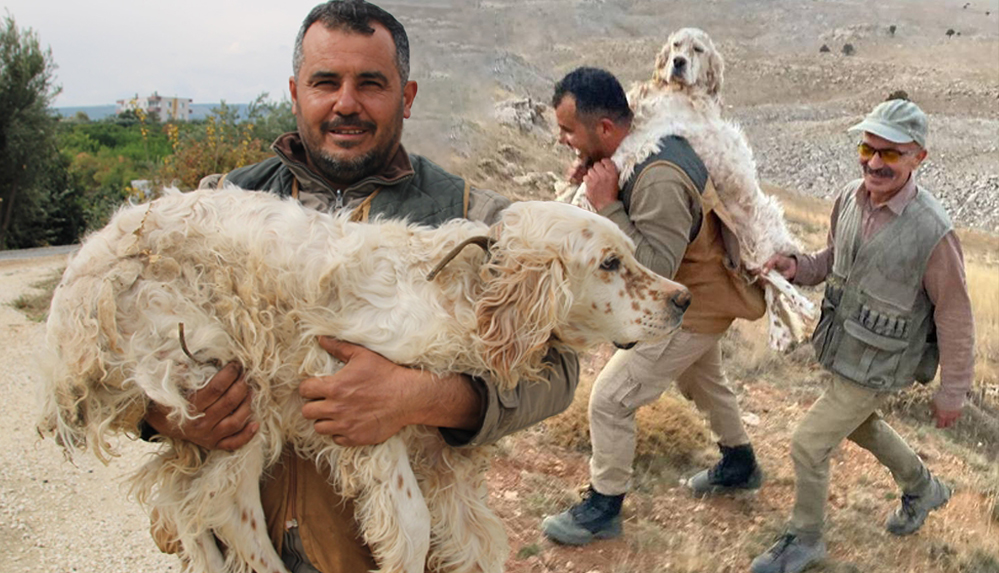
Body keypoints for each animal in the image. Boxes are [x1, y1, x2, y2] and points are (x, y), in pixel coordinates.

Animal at [41, 189, 696, 572]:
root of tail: (73, 285)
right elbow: (410, 528)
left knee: (190, 503)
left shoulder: (436, 445)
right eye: (609, 263)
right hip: (228, 383)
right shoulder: (346, 391)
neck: (459, 296)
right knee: (224, 506)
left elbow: (477, 540)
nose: (684, 299)